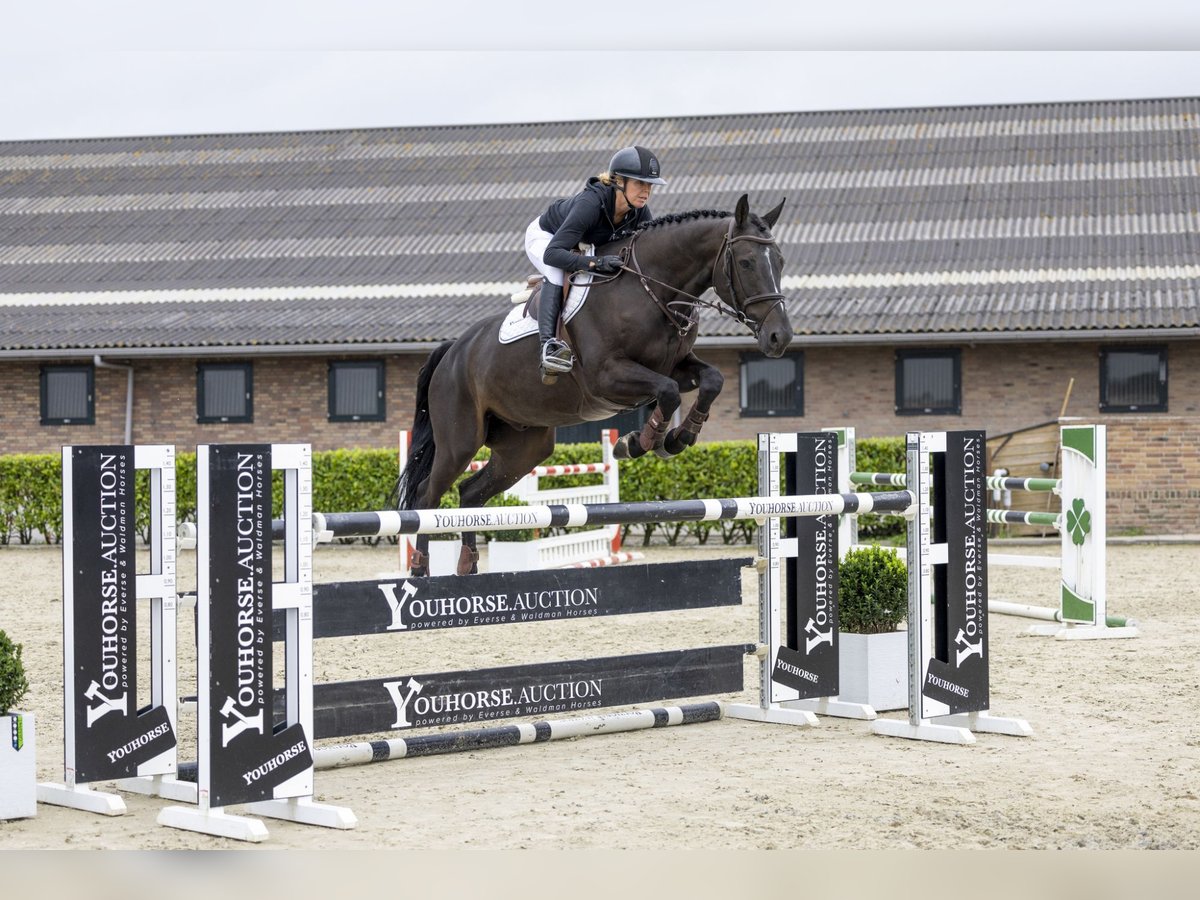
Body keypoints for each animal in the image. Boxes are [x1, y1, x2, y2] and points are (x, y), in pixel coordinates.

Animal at [398, 196, 796, 578]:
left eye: (779, 261)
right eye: (746, 263)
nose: (780, 337)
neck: (650, 288)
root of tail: (453, 350)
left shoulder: (676, 366)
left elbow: (711, 380)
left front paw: (677, 437)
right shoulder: (608, 376)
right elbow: (666, 391)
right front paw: (640, 442)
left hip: (523, 448)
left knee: (470, 493)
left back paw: (467, 565)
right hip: (460, 440)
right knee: (426, 497)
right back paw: (419, 567)